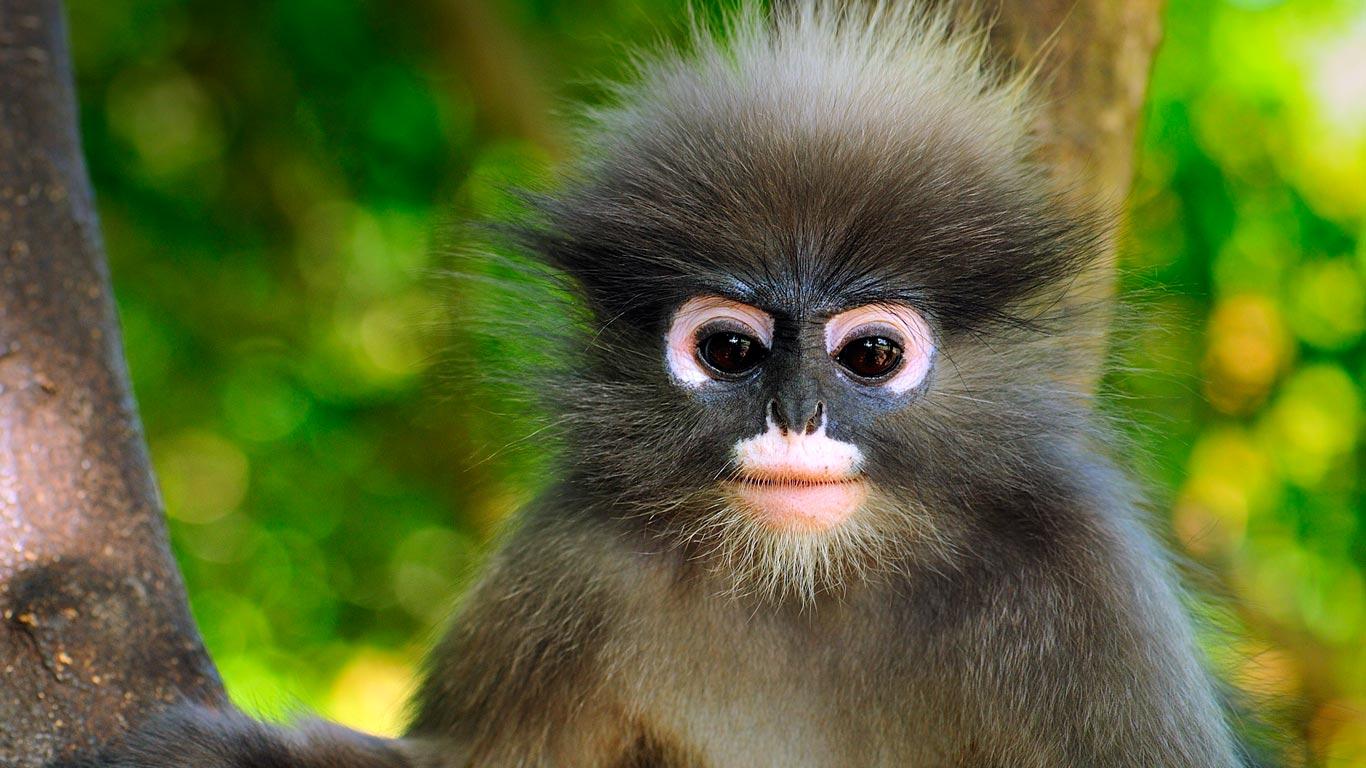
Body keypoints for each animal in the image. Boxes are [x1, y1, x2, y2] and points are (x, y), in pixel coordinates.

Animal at [85, 1, 1262, 765]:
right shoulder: (566, 569)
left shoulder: (1089, 587)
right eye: (730, 352)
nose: (796, 414)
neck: (810, 584)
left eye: (871, 356)